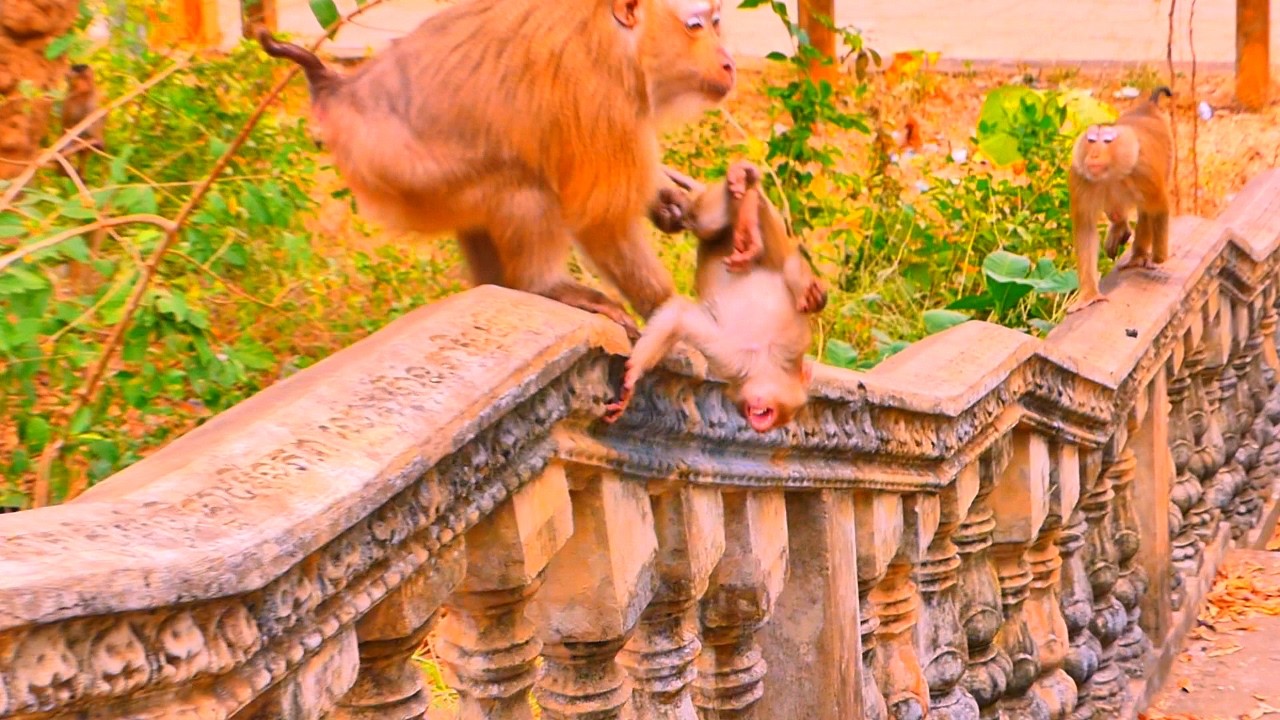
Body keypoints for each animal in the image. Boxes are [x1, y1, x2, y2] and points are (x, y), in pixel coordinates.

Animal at [256, 0, 736, 338]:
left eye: (716, 23)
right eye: (696, 25)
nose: (728, 61)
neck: (617, 35)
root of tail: (337, 92)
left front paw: (666, 198)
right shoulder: (603, 91)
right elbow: (602, 221)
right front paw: (674, 314)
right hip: (404, 173)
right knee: (521, 185)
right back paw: (541, 285)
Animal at [603, 160, 826, 433]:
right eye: (775, 417)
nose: (760, 425)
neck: (765, 358)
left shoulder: (733, 362)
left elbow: (678, 317)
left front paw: (632, 377)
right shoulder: (763, 351)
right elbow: (789, 265)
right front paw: (632, 378)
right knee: (713, 224)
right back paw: (746, 194)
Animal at [1066, 86, 1173, 313]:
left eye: (1106, 141)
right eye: (1091, 140)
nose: (1094, 155)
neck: (1111, 171)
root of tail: (1148, 108)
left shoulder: (1143, 170)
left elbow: (1158, 207)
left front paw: (1158, 257)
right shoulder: (1080, 176)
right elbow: (1086, 228)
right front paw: (1089, 294)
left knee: (1146, 209)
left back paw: (1139, 255)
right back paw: (1120, 227)